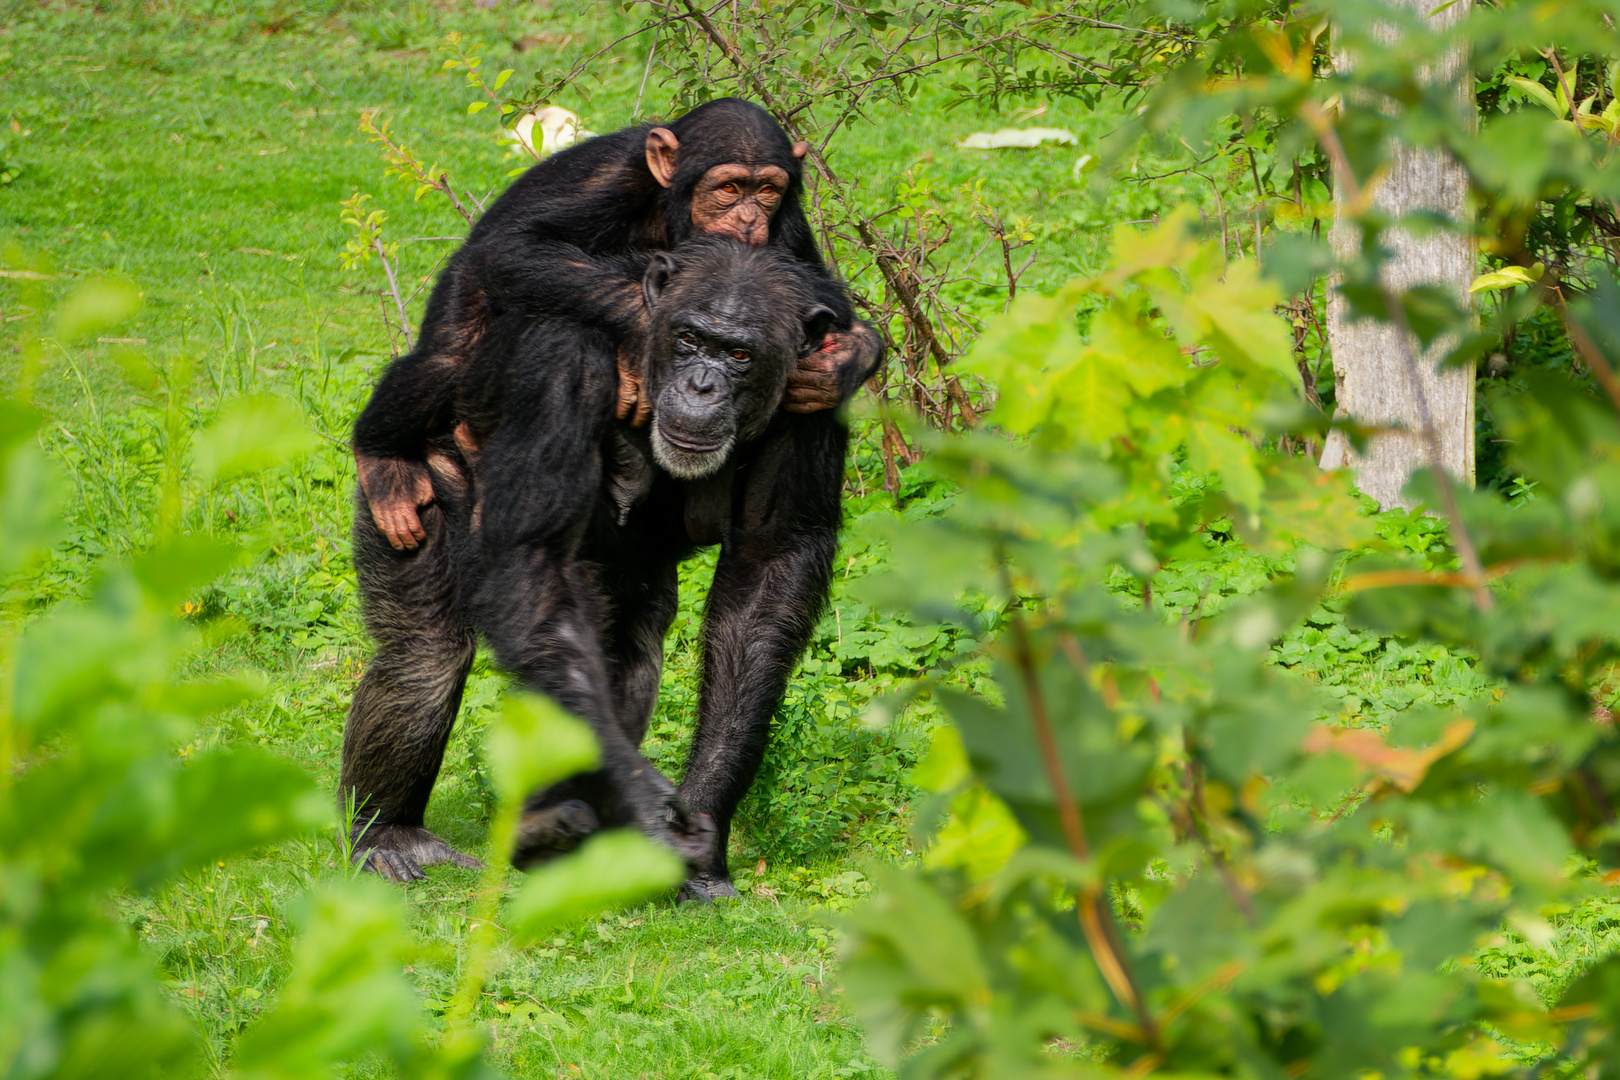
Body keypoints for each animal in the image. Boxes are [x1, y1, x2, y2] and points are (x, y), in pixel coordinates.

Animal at [341, 238, 861, 906]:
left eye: (740, 354)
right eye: (690, 339)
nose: (701, 385)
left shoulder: (816, 399)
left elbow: (769, 568)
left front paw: (702, 832)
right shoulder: (561, 368)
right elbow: (533, 552)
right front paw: (644, 804)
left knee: (621, 655)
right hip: (416, 487)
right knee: (426, 656)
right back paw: (390, 835)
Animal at [354, 97, 881, 553]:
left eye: (767, 191)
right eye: (729, 189)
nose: (750, 217)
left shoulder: (787, 225)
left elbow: (817, 294)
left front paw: (841, 363)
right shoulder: (608, 176)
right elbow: (515, 246)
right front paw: (645, 330)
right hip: (460, 290)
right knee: (444, 358)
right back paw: (384, 463)